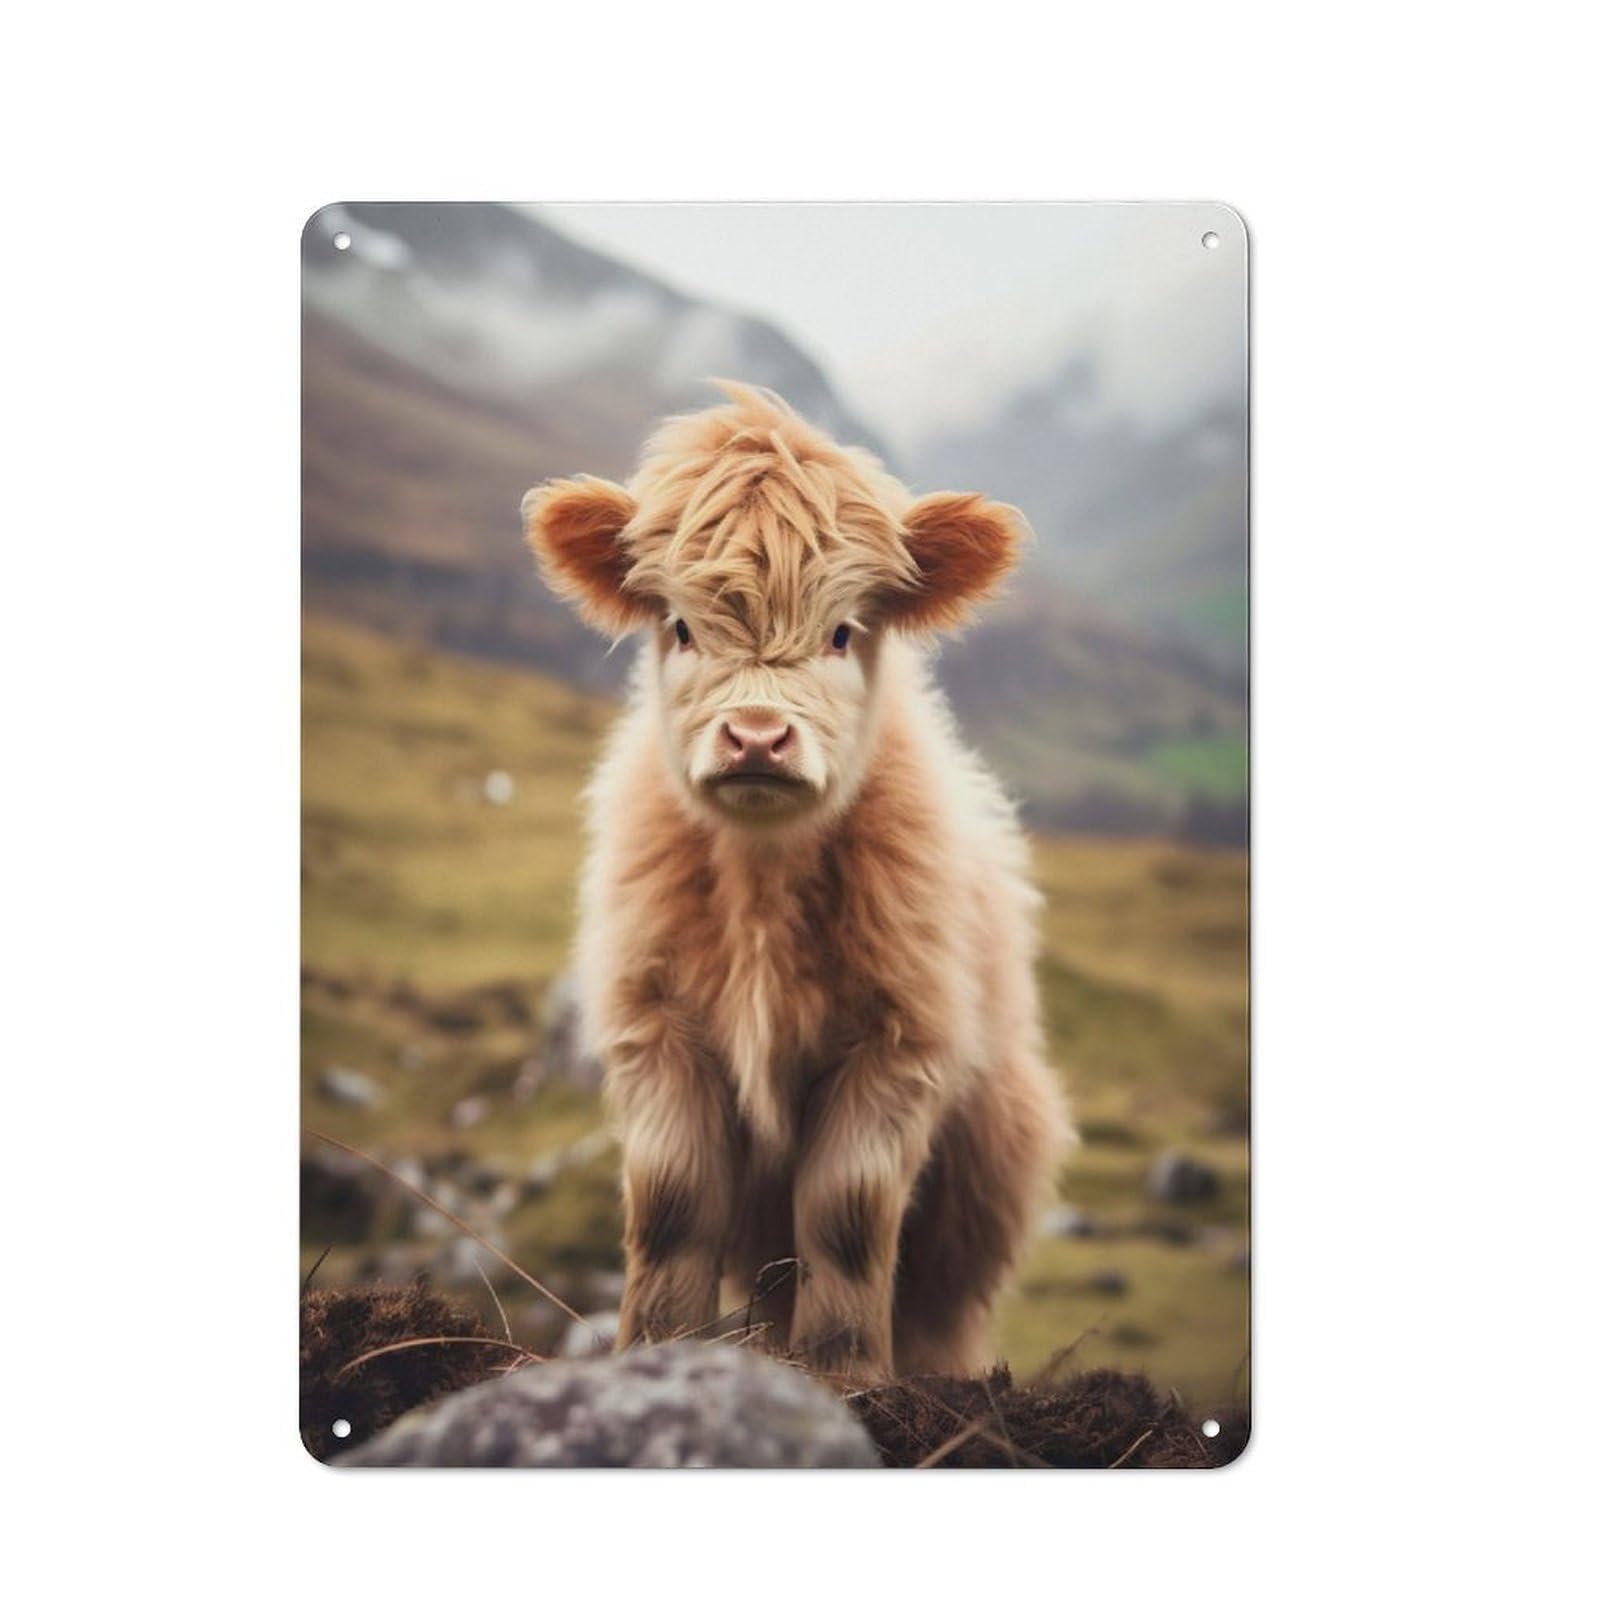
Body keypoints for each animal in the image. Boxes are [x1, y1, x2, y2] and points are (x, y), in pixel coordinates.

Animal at [524, 384, 1070, 1378]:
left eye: (844, 631)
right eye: (681, 626)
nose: (755, 738)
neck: (762, 884)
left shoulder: (897, 1047)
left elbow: (846, 1221)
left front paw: (847, 1376)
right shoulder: (658, 1029)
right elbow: (671, 1212)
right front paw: (653, 1351)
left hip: (984, 1186)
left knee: (938, 1306)